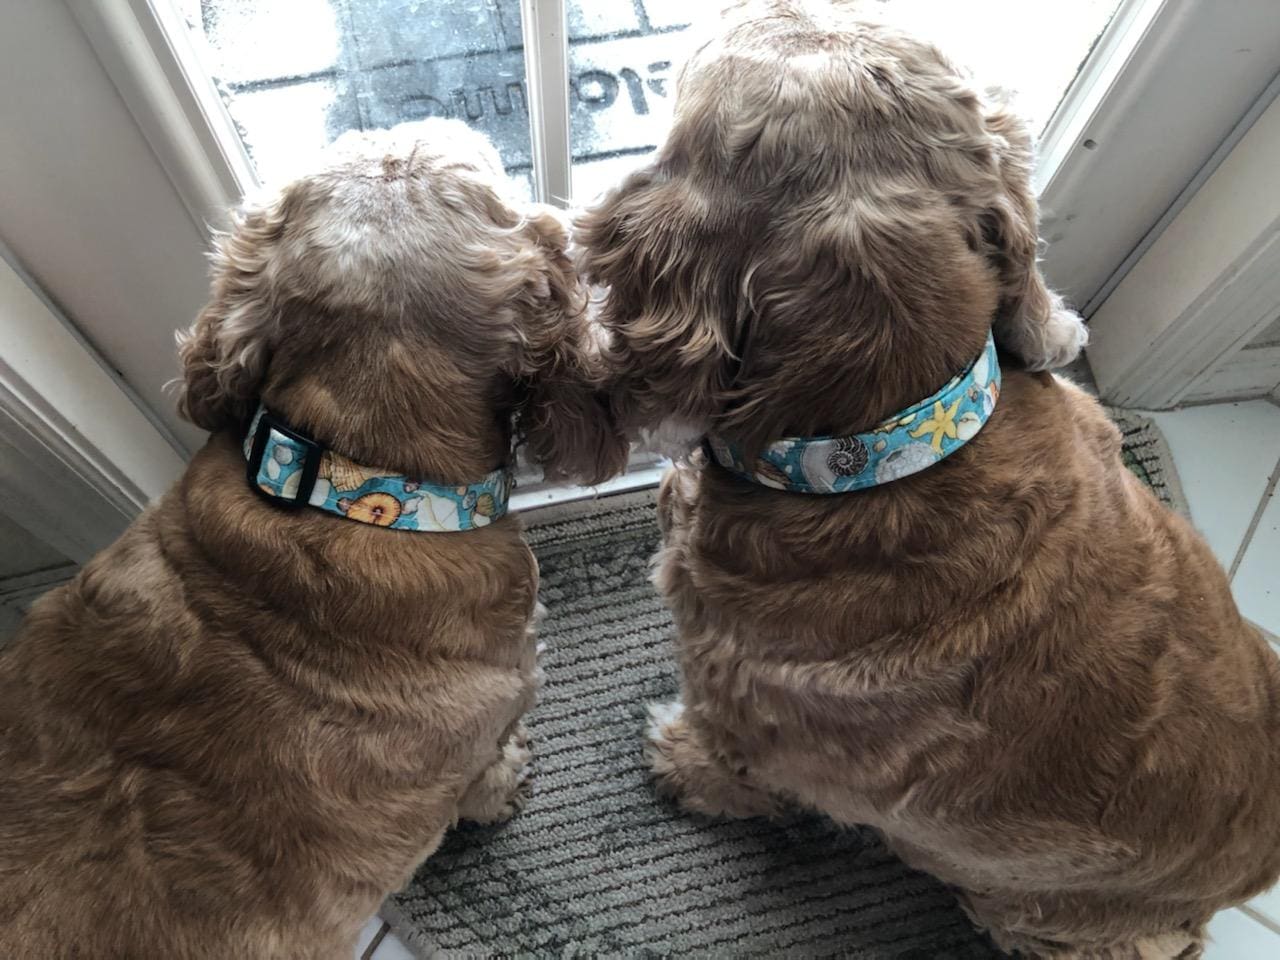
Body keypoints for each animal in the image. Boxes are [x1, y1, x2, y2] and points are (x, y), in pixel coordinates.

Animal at [578, 3, 1280, 957]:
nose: (750, 7)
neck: (883, 443)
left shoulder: (752, 721)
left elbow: (732, 768)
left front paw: (681, 765)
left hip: (1044, 913)